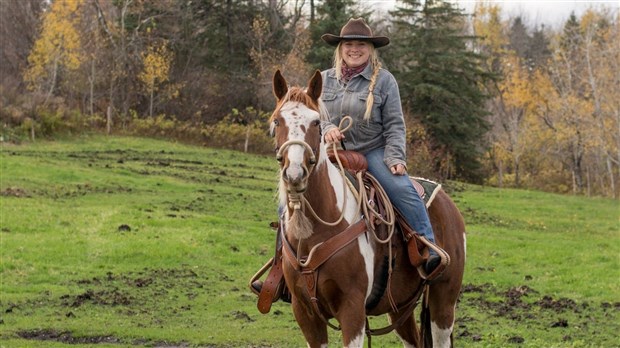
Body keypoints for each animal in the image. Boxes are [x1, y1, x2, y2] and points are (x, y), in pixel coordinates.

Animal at [266, 69, 464, 346]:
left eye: (316, 122)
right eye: (277, 121)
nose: (295, 174)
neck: (316, 230)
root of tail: (448, 204)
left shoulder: (352, 309)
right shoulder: (304, 311)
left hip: (443, 301)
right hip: (400, 307)